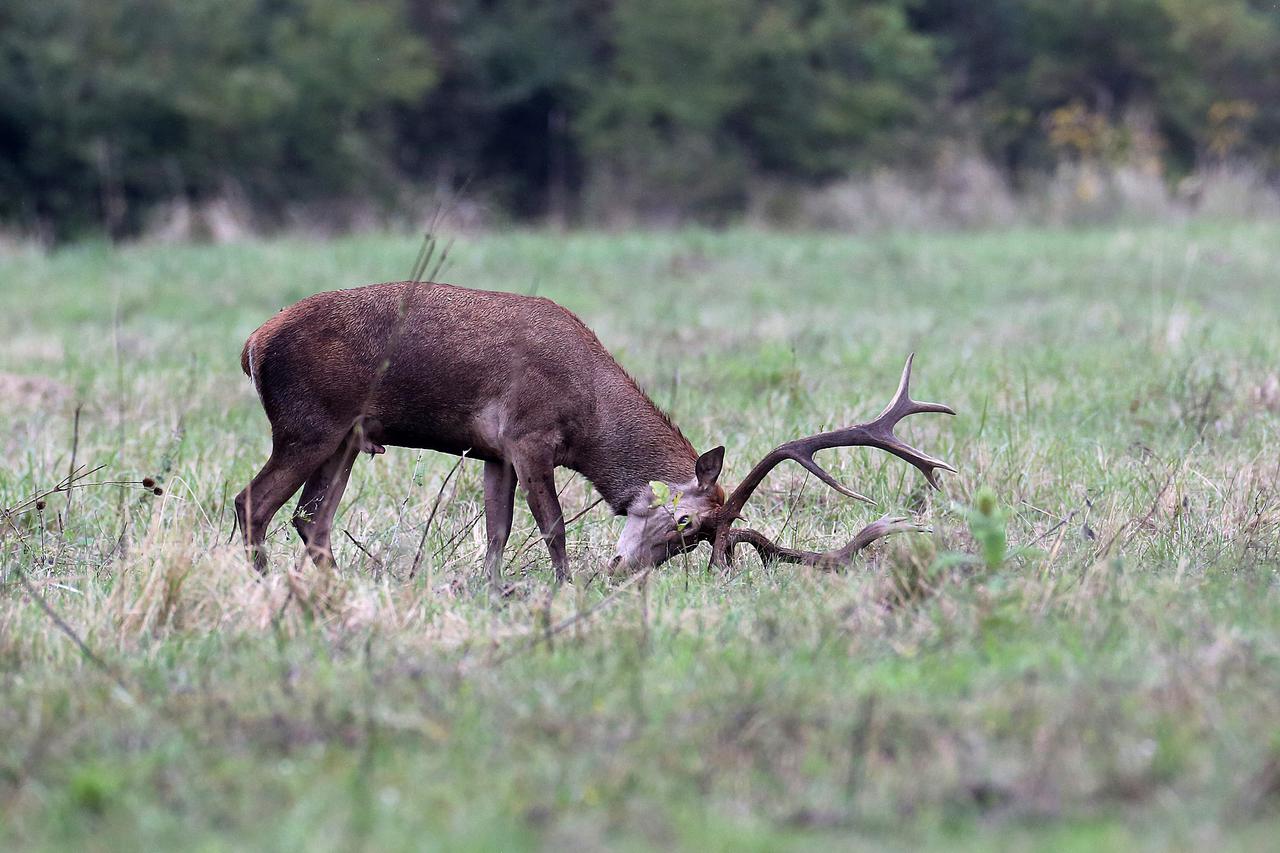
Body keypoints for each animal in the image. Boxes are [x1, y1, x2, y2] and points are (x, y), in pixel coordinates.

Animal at [235, 279, 957, 584]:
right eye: (688, 525)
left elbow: (497, 527)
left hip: (345, 439)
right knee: (253, 501)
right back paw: (266, 584)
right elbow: (551, 524)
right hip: (307, 423)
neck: (589, 417)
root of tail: (253, 342)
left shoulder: (493, 451)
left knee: (311, 519)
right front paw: (564, 585)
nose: (625, 569)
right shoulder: (528, 436)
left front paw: (494, 588)